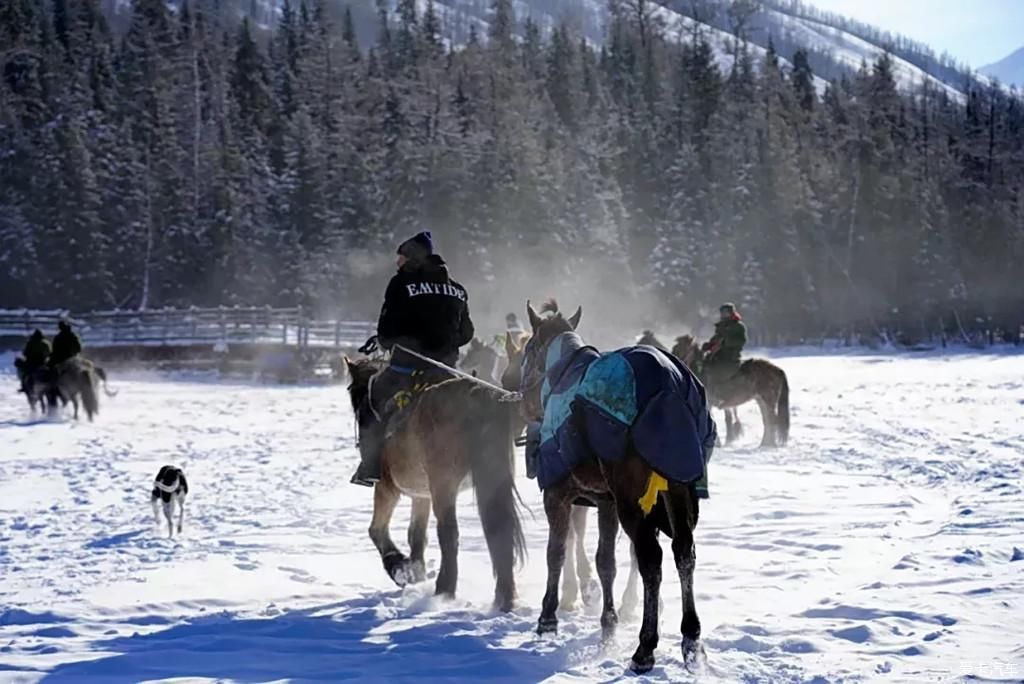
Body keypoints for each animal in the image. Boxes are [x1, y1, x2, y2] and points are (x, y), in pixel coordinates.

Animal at [346, 360, 524, 610]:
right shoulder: (422, 495)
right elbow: (416, 535)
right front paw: (416, 573)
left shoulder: (387, 488)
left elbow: (377, 529)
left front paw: (399, 568)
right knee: (499, 530)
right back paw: (504, 597)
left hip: (443, 486)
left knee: (449, 533)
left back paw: (445, 589)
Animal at [520, 301, 712, 671]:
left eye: (527, 348)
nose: (523, 400)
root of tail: (668, 388)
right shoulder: (605, 500)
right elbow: (604, 560)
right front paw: (607, 624)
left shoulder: (558, 494)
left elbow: (556, 552)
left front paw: (548, 617)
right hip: (678, 488)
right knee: (684, 552)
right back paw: (691, 638)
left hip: (632, 497)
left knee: (651, 559)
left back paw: (645, 646)